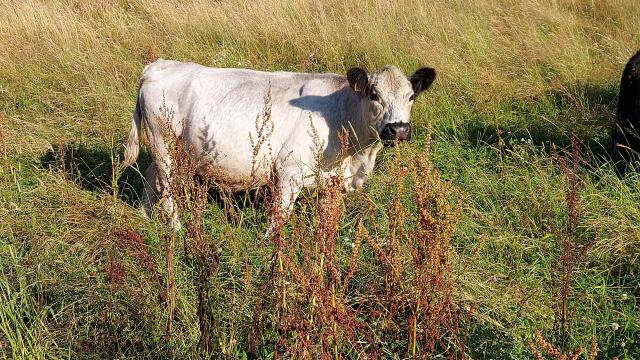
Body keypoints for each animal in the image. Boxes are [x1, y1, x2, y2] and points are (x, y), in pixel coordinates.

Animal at [123, 58, 438, 228]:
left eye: (411, 96)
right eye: (374, 94)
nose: (398, 129)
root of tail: (158, 65)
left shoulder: (333, 183)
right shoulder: (289, 173)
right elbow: (279, 219)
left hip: (170, 148)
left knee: (151, 175)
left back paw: (144, 216)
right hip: (163, 143)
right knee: (166, 185)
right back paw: (176, 228)